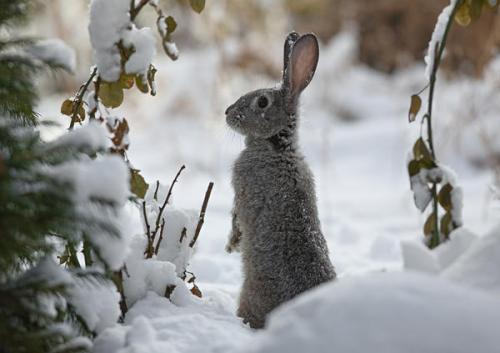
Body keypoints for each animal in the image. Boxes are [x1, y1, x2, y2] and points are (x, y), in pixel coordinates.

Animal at [226, 31, 336, 328]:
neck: (276, 146)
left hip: (251, 292)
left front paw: (231, 245)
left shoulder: (242, 190)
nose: (227, 113)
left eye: (262, 102)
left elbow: (236, 219)